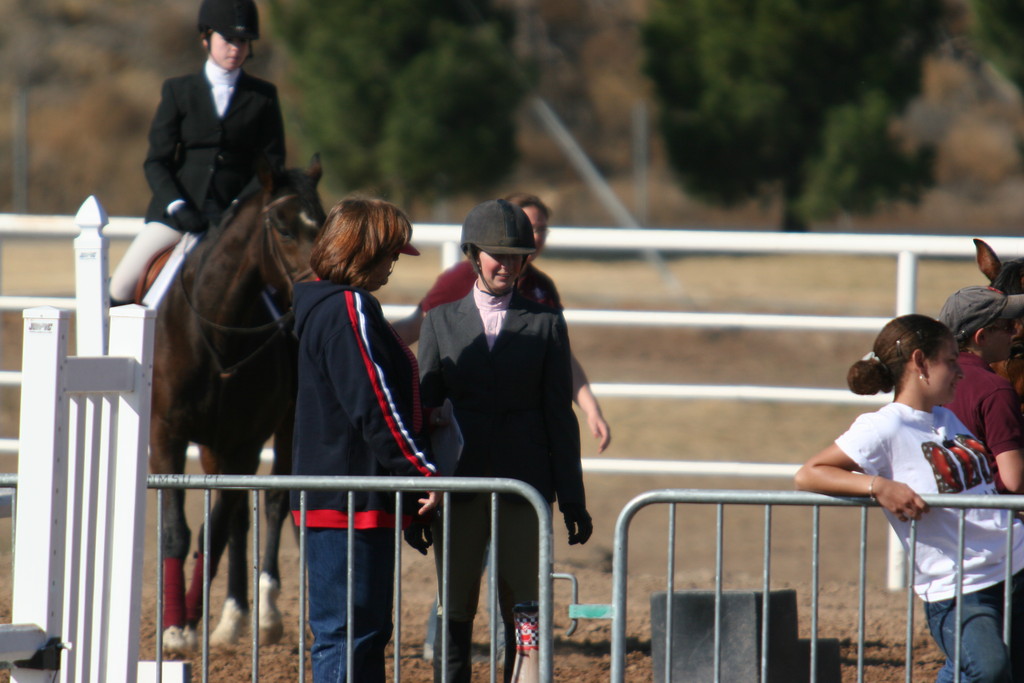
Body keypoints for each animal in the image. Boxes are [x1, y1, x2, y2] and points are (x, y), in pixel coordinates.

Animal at [150, 153, 323, 651]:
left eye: (323, 222)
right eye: (283, 229)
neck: (216, 329)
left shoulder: (244, 441)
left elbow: (217, 528)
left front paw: (188, 621)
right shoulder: (167, 435)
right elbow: (178, 530)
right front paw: (176, 628)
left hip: (279, 427)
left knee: (274, 502)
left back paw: (262, 613)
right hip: (213, 444)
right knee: (243, 515)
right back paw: (233, 616)